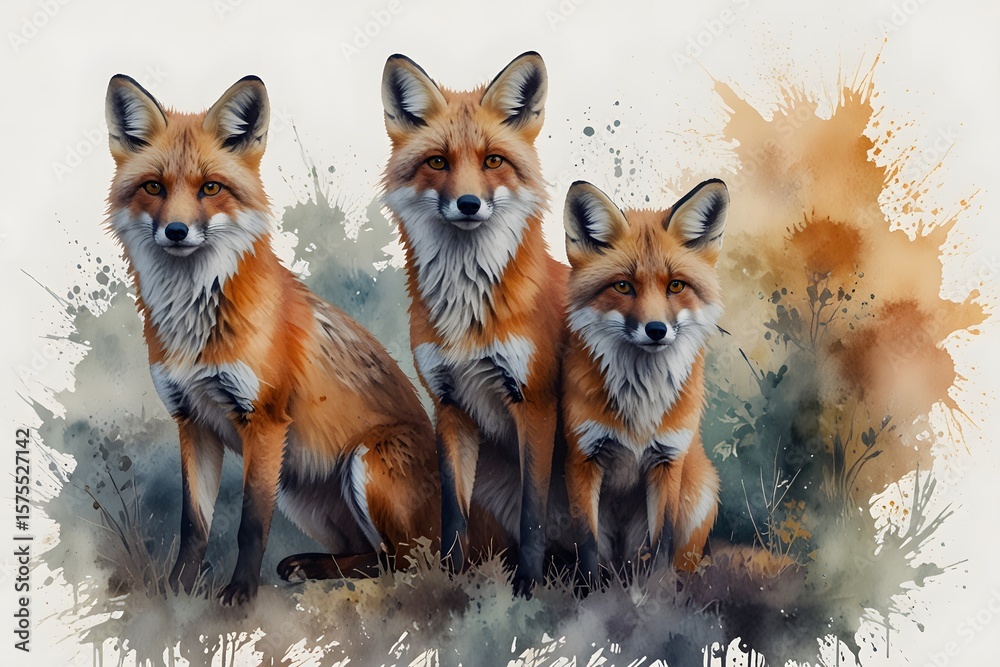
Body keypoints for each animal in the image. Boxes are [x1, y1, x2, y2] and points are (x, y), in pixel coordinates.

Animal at [104, 74, 439, 605]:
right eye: (153, 187)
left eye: (211, 188)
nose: (176, 231)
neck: (195, 328)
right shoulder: (192, 421)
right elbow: (193, 526)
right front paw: (176, 593)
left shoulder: (263, 420)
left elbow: (250, 525)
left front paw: (239, 594)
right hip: (300, 490)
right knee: (371, 555)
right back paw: (312, 565)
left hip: (364, 463)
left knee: (403, 562)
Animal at [380, 52, 569, 595]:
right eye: (438, 162)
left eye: (493, 161)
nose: (468, 204)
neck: (468, 316)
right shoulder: (450, 405)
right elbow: (453, 514)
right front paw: (451, 583)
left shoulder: (535, 405)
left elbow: (533, 514)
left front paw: (527, 588)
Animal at [560, 178, 728, 589]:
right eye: (623, 286)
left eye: (676, 286)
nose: (656, 330)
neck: (641, 401)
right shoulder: (583, 458)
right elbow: (588, 546)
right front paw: (591, 599)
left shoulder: (668, 460)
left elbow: (661, 545)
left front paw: (654, 598)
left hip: (700, 494)